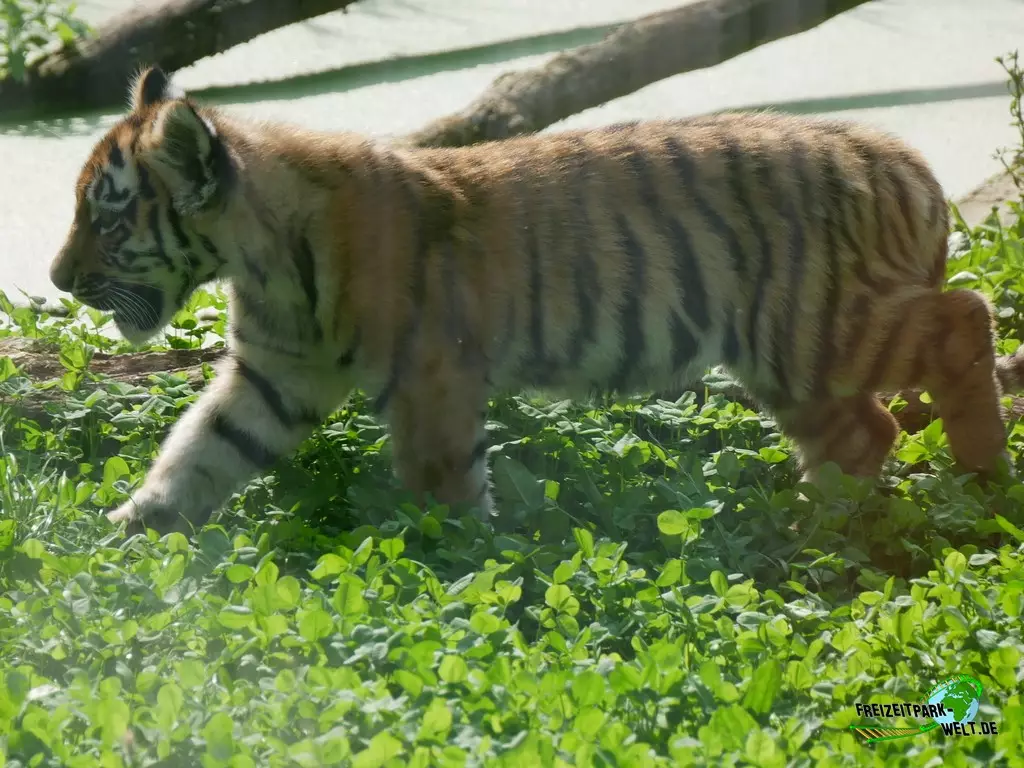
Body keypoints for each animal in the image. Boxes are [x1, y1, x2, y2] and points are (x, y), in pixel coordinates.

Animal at [49, 66, 1024, 536]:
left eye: (107, 214)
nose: (57, 277)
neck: (260, 258)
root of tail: (908, 161)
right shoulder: (275, 375)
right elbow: (198, 453)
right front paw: (123, 536)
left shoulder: (433, 375)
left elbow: (442, 484)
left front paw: (458, 568)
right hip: (789, 356)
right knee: (867, 432)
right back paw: (817, 521)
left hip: (820, 326)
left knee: (965, 320)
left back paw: (982, 474)